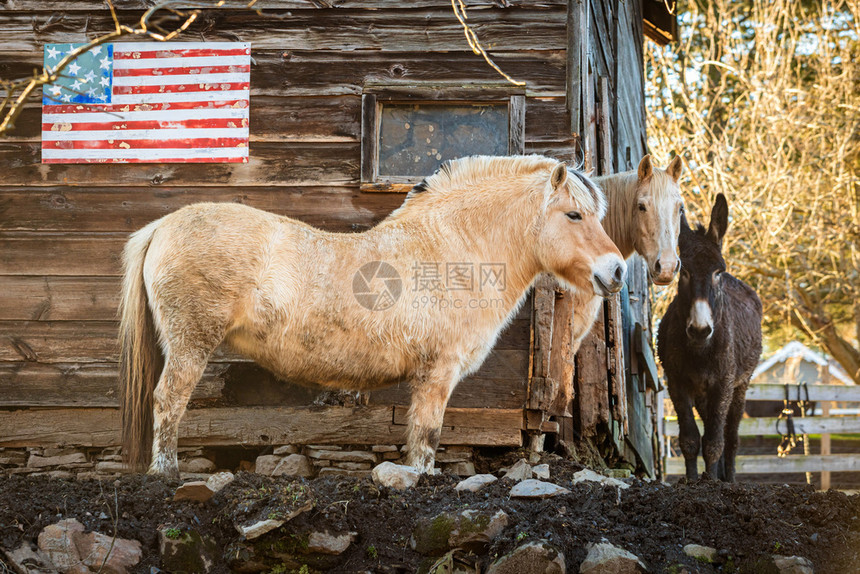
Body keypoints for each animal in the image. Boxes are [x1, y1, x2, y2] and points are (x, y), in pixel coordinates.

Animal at [121, 155, 624, 480]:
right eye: (574, 214)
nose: (616, 271)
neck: (452, 250)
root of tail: (162, 226)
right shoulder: (438, 373)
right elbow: (428, 434)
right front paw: (420, 478)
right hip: (190, 343)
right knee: (168, 400)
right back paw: (166, 473)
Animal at [656, 196, 764, 484]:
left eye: (718, 272)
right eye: (683, 272)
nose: (700, 330)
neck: (699, 352)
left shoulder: (723, 384)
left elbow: (715, 441)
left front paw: (713, 483)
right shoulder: (677, 384)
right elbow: (691, 439)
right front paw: (694, 481)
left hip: (740, 386)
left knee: (731, 437)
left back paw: (729, 479)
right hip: (704, 394)